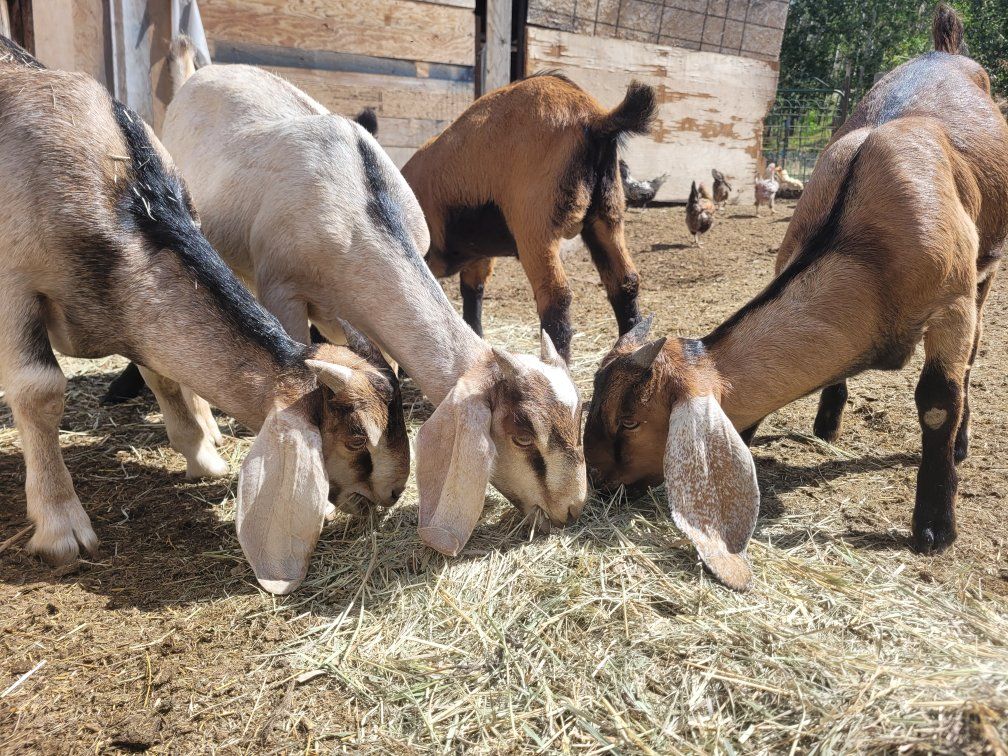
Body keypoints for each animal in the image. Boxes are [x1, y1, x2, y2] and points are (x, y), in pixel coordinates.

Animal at [0, 39, 409, 595]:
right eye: (354, 438)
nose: (392, 494)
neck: (122, 193)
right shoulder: (12, 286)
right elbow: (39, 390)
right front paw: (62, 527)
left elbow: (163, 373)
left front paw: (201, 457)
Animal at [112, 53, 587, 556]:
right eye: (523, 436)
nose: (571, 509)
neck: (358, 213)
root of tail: (205, 70)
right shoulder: (283, 290)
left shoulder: (348, 308)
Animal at [401, 73, 657, 362]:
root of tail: (595, 118)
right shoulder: (479, 255)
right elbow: (472, 294)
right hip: (607, 215)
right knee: (625, 281)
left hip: (534, 227)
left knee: (556, 297)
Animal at [583, 5, 1007, 590]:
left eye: (630, 421)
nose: (597, 482)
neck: (865, 241)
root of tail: (945, 47)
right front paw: (822, 424)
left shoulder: (952, 305)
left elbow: (939, 401)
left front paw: (934, 528)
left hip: (985, 270)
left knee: (972, 354)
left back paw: (962, 443)